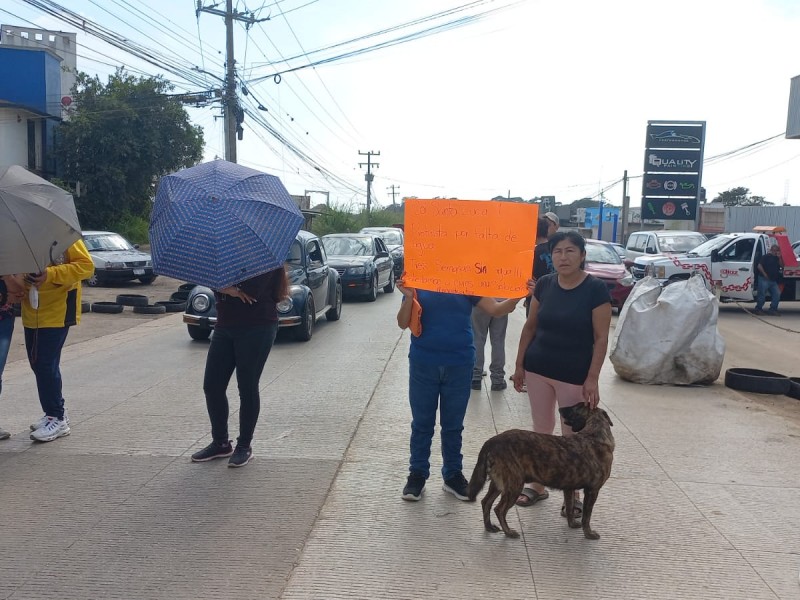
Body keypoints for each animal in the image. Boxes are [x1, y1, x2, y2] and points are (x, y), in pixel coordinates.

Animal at [466, 404, 616, 540]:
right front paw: (589, 534)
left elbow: (569, 508)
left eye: (575, 407)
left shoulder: (569, 488)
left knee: (486, 502)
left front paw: (572, 524)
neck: (594, 434)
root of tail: (492, 441)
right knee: (499, 509)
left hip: (498, 484)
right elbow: (586, 517)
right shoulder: (592, 491)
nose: (560, 409)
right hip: (514, 486)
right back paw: (508, 532)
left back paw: (489, 526)